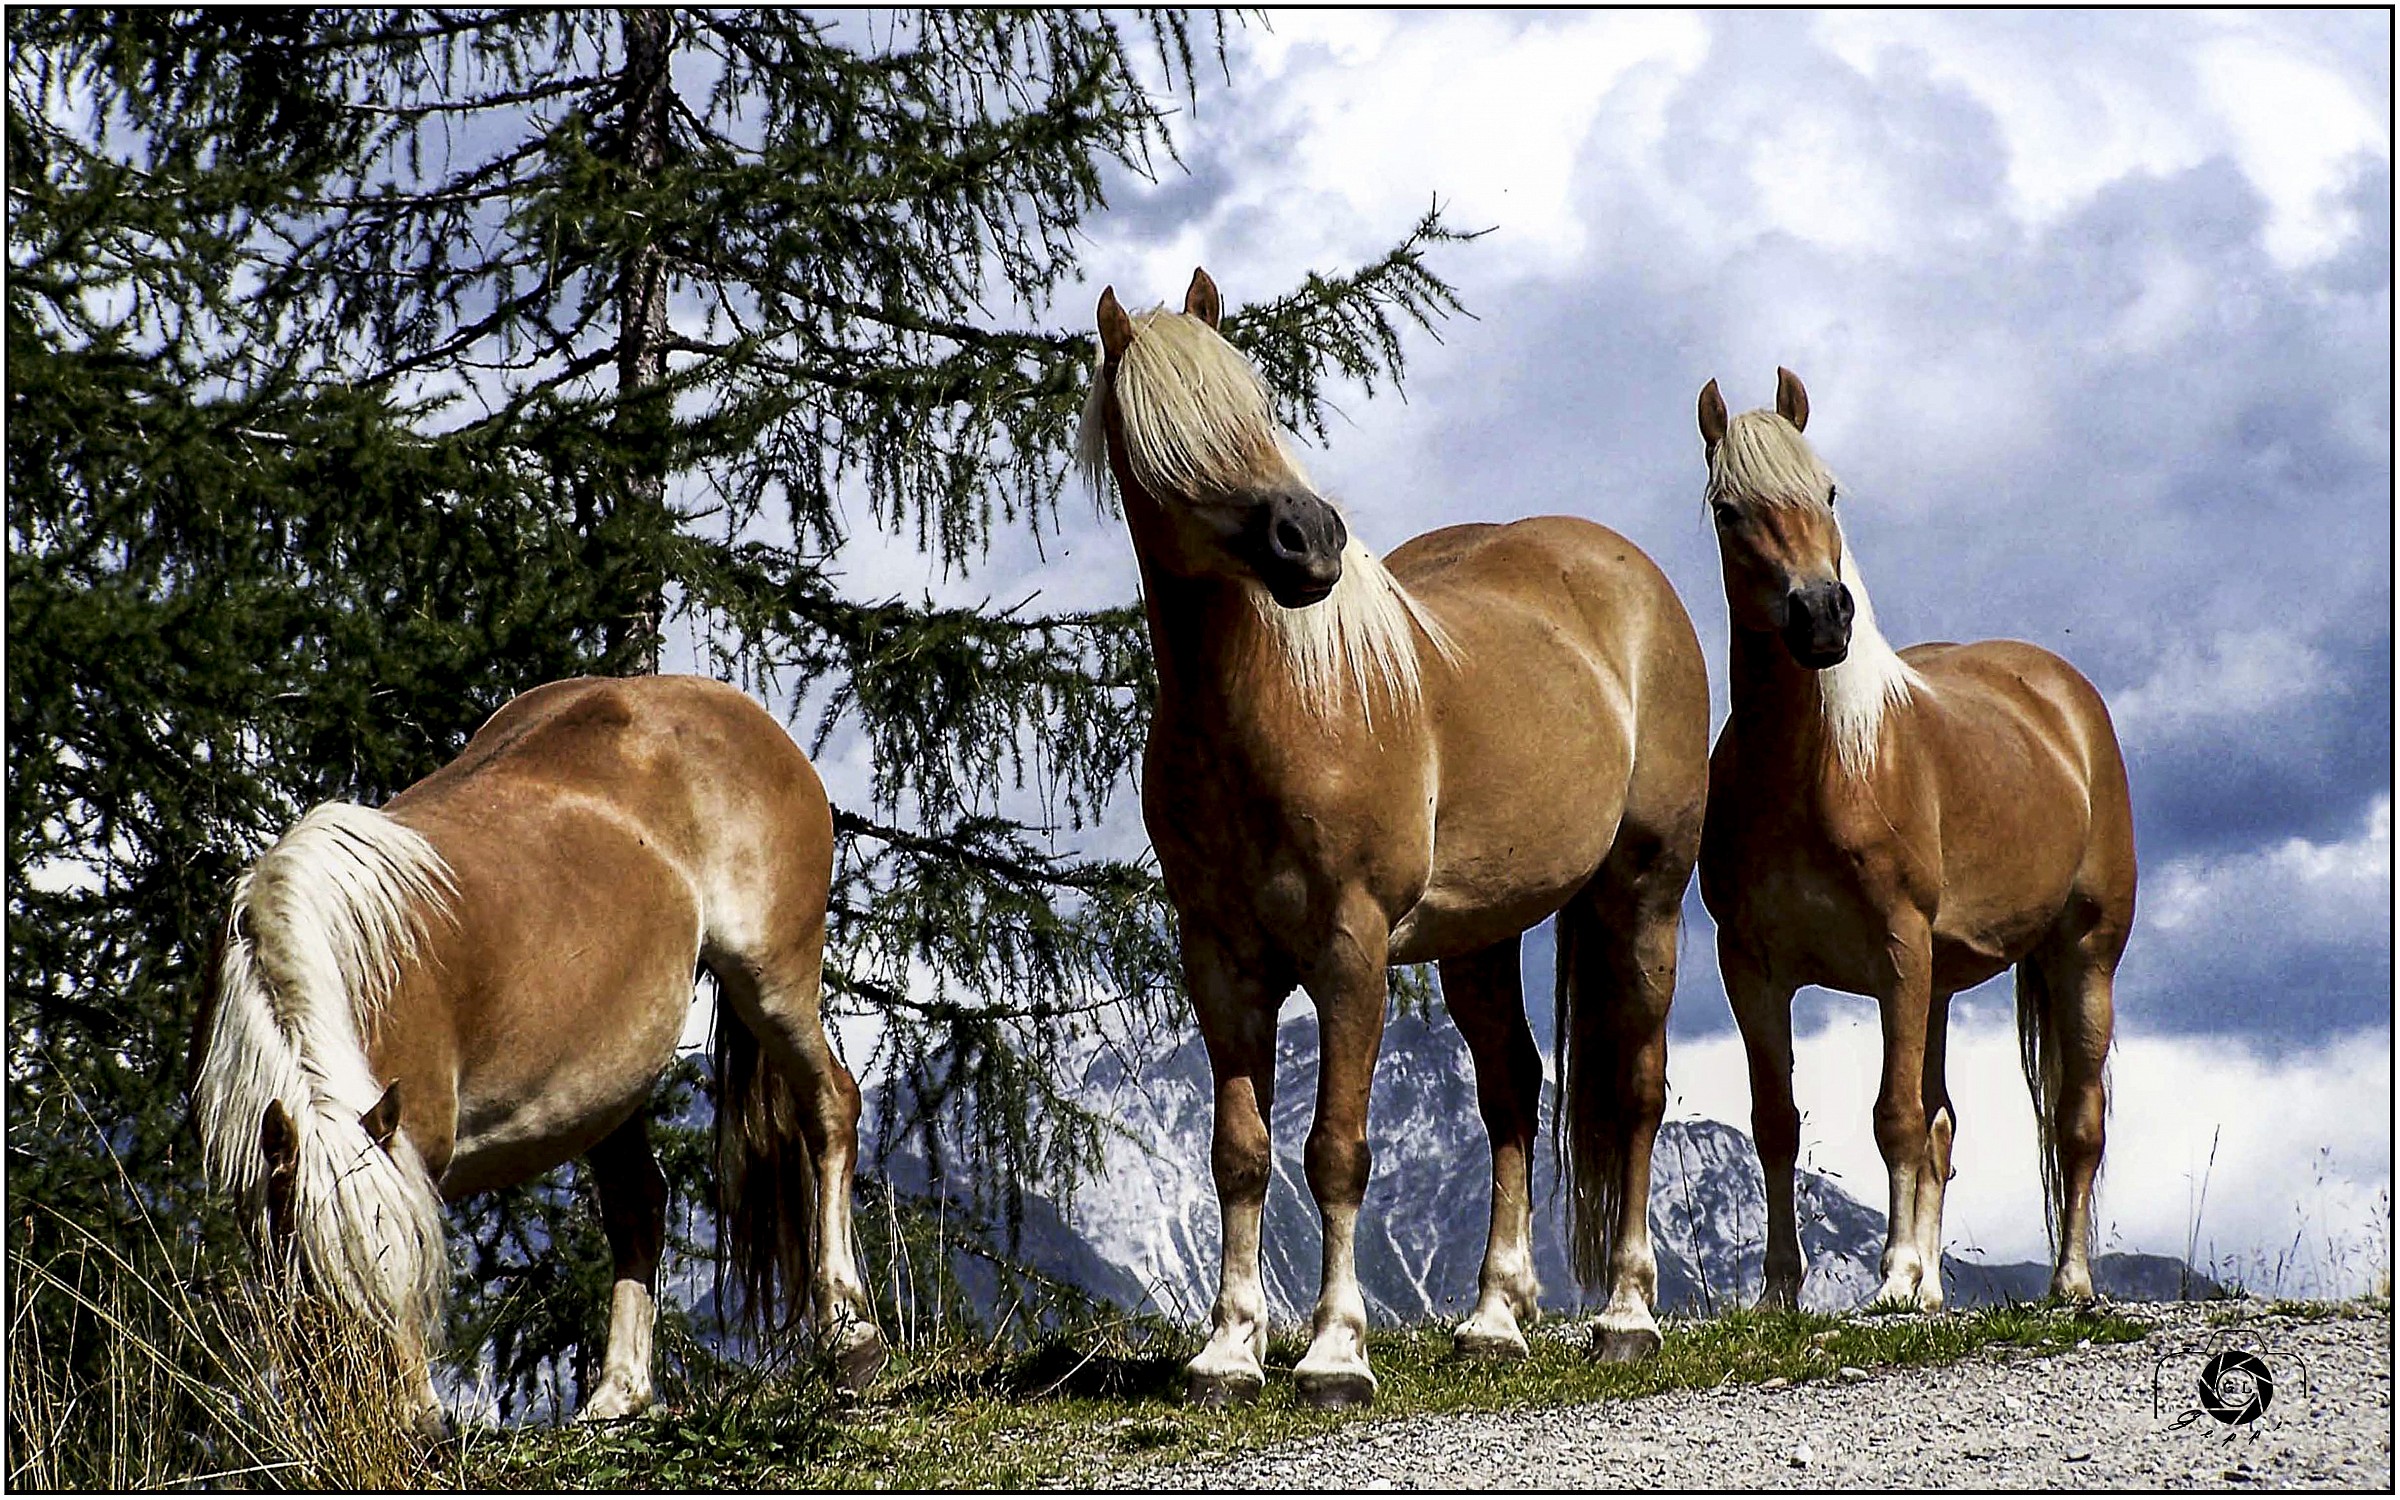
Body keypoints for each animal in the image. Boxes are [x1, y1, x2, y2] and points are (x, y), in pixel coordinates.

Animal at [187, 674, 886, 1432]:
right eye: (318, 1284)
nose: (414, 1433)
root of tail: (744, 714)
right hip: (610, 1086)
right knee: (640, 1203)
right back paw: (617, 1395)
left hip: (772, 985)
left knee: (830, 1108)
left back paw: (850, 1336)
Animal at [1080, 269, 1711, 1407]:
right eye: (1162, 442)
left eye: (1258, 410)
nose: (1309, 541)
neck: (1285, 709)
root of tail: (1630, 575)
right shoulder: (1222, 960)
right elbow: (1240, 1151)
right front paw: (1228, 1352)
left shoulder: (1351, 952)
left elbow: (1337, 1149)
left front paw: (1335, 1354)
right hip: (1480, 940)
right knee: (1512, 1093)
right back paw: (1494, 1321)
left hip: (1646, 894)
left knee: (1636, 1091)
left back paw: (1627, 1318)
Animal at [1692, 370, 2136, 1311]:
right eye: (1728, 510)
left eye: (1827, 492)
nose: (1823, 616)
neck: (1822, 765)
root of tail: (2064, 701)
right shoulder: (1751, 966)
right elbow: (1777, 1122)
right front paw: (1782, 1291)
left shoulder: (1897, 949)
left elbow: (1892, 1116)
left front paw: (1892, 1275)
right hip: (1938, 985)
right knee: (1943, 1124)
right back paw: (1934, 1291)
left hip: (2083, 956)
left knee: (2077, 1124)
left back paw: (2069, 1281)